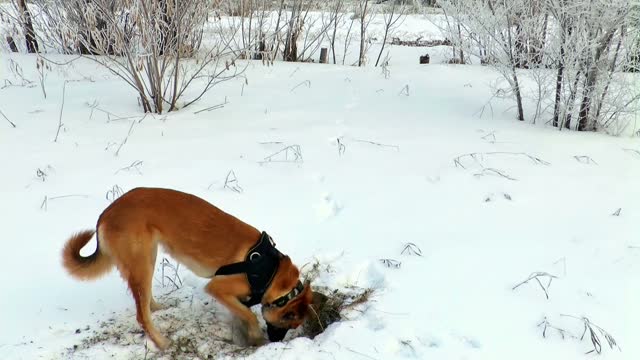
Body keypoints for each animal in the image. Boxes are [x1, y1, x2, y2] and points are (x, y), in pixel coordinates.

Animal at [61, 187, 314, 350]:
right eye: (289, 324)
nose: (276, 342)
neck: (271, 272)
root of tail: (106, 213)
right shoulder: (217, 288)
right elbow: (249, 315)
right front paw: (254, 336)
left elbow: (242, 312)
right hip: (142, 261)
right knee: (141, 315)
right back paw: (162, 343)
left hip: (148, 258)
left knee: (144, 300)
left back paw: (157, 307)